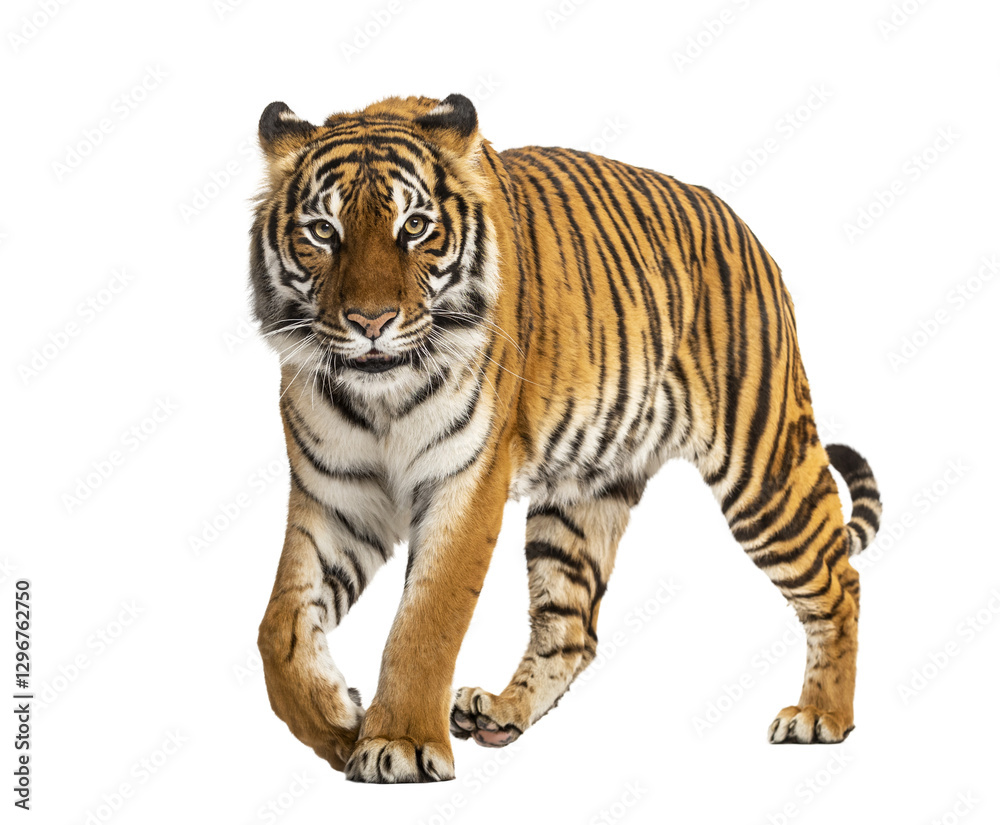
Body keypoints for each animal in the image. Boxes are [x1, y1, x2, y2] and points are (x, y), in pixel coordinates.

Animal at [250, 93, 882, 784]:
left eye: (414, 227)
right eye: (322, 232)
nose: (371, 322)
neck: (379, 397)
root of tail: (741, 225)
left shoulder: (466, 484)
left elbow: (425, 621)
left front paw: (400, 744)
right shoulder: (338, 496)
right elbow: (278, 626)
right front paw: (338, 721)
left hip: (763, 467)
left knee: (840, 581)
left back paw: (822, 717)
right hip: (583, 497)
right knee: (573, 629)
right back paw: (499, 713)